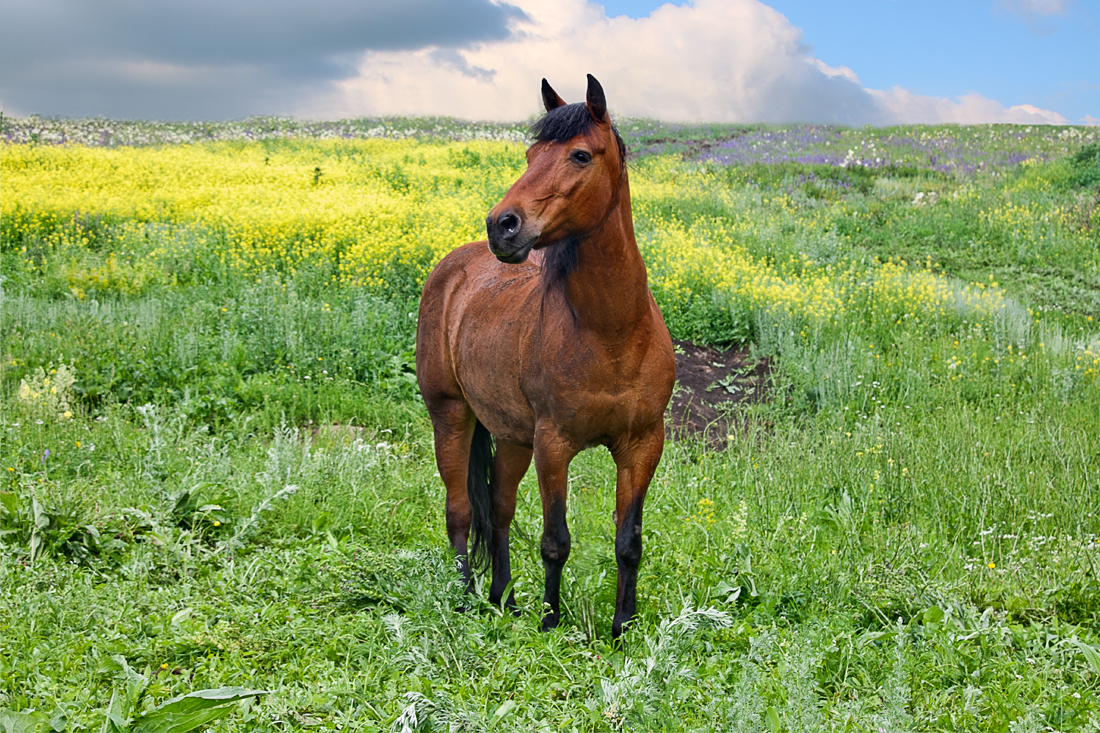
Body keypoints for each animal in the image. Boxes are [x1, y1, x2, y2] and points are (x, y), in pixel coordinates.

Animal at [413, 72, 673, 633]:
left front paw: (623, 627)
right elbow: (556, 541)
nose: (502, 225)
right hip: (451, 416)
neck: (610, 332)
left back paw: (503, 598)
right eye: (531, 154)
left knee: (499, 507)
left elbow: (629, 542)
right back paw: (465, 599)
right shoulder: (554, 445)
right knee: (460, 510)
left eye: (580, 155)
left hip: (513, 437)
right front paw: (552, 624)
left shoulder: (643, 445)